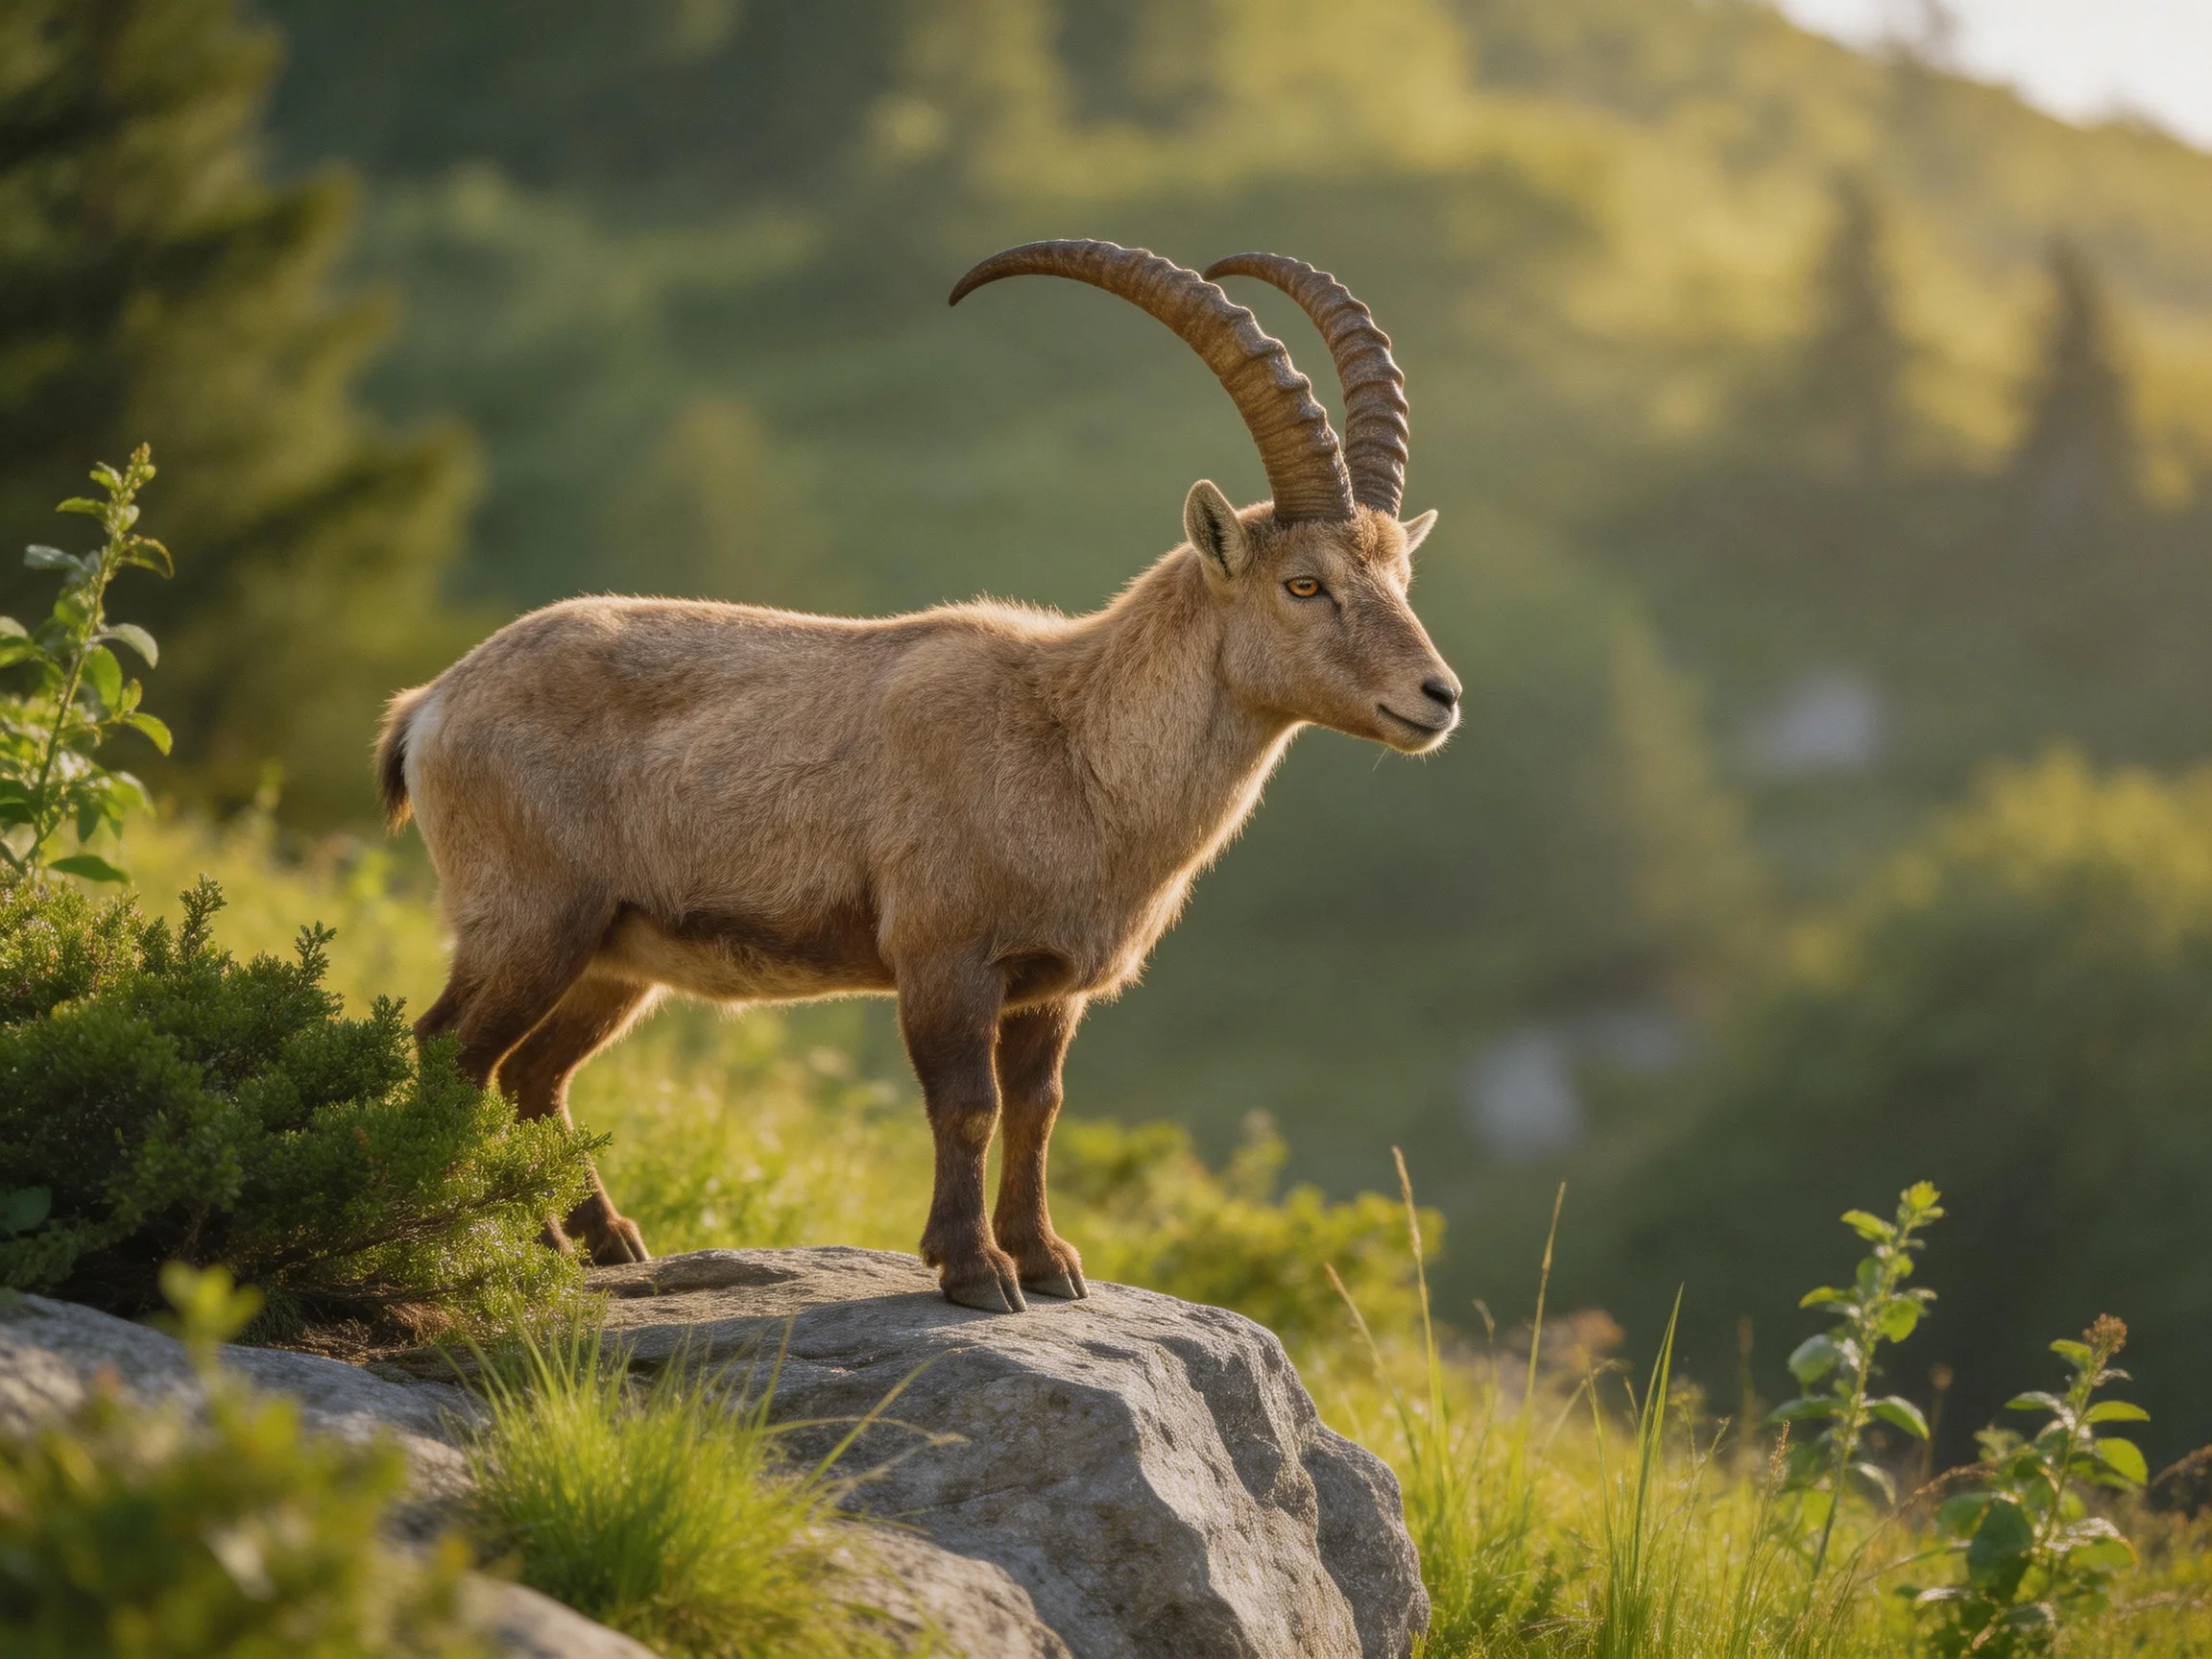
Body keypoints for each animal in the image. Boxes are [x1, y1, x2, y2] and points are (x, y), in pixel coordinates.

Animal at [376, 241, 1460, 1312]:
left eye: (1403, 579)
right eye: (1305, 583)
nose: (1438, 696)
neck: (1074, 747)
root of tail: (431, 704)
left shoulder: (1048, 984)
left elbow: (1038, 1107)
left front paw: (1048, 1260)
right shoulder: (945, 953)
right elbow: (968, 1106)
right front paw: (974, 1270)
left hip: (614, 956)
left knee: (534, 1076)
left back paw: (592, 1242)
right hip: (532, 916)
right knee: (450, 1050)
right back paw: (470, 1236)